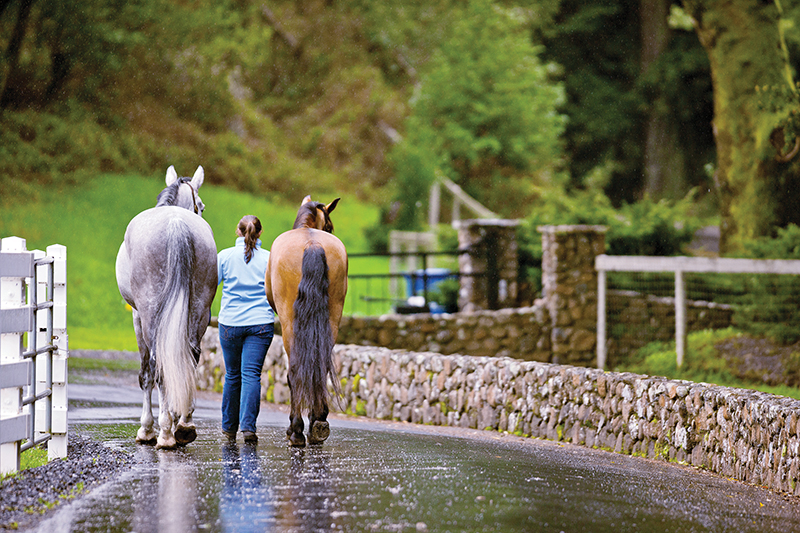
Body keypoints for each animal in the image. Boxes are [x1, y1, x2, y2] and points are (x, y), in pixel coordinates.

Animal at [115, 165, 218, 449]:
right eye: (202, 206)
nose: (201, 211)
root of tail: (176, 224)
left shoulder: (137, 316)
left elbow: (146, 373)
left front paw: (147, 428)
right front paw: (175, 416)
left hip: (150, 312)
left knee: (157, 364)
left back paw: (165, 433)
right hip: (200, 310)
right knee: (191, 357)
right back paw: (184, 425)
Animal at [265, 196, 348, 447]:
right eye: (329, 226)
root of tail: (312, 243)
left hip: (289, 324)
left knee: (295, 371)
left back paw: (296, 430)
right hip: (332, 318)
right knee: (319, 365)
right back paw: (318, 423)